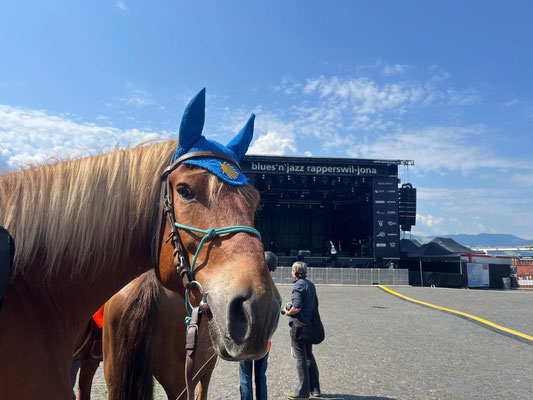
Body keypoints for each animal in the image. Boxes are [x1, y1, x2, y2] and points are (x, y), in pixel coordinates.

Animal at [0, 89, 282, 398]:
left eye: (254, 200)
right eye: (184, 190)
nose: (259, 308)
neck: (35, 291)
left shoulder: (89, 360)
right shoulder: (202, 370)